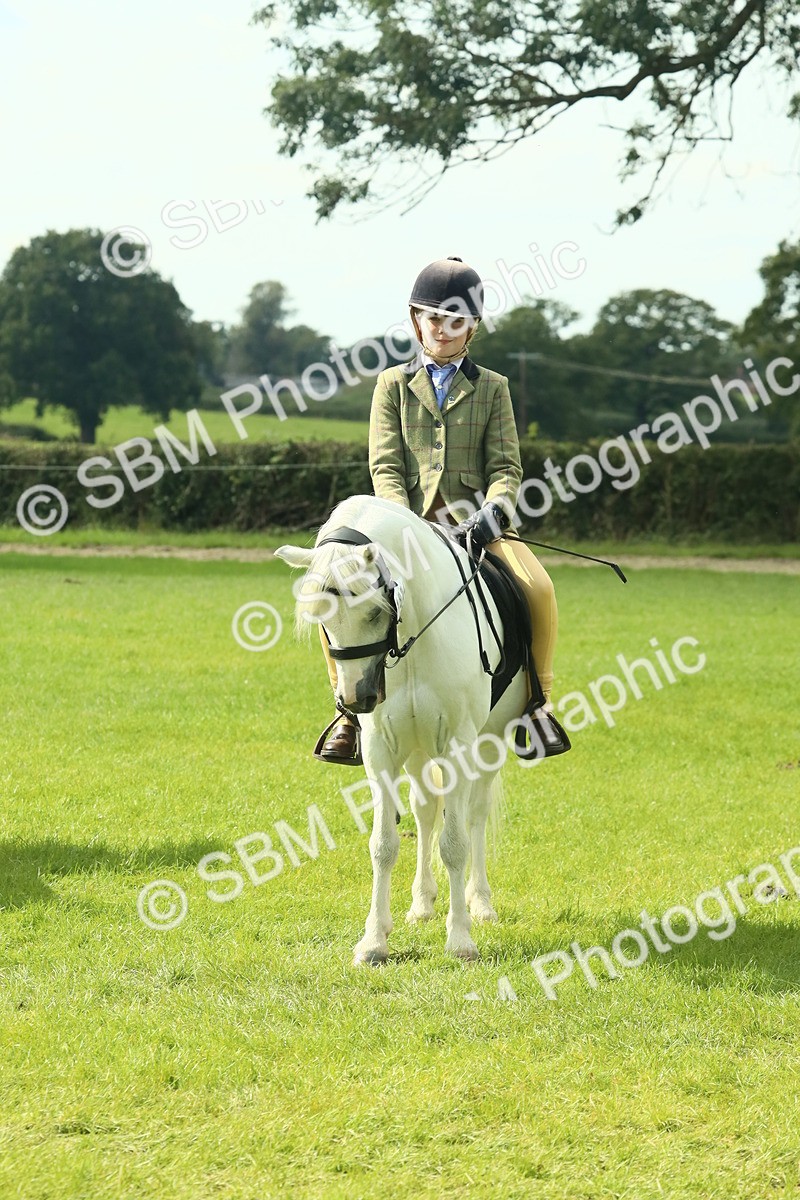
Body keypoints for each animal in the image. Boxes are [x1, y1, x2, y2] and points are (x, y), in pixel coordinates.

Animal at [275, 494, 535, 965]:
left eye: (375, 611)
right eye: (322, 619)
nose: (357, 698)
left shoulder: (458, 746)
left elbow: (455, 844)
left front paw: (461, 939)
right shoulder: (382, 749)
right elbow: (383, 845)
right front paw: (374, 941)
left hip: (489, 742)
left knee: (474, 815)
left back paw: (481, 904)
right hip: (416, 750)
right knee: (426, 810)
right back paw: (421, 903)